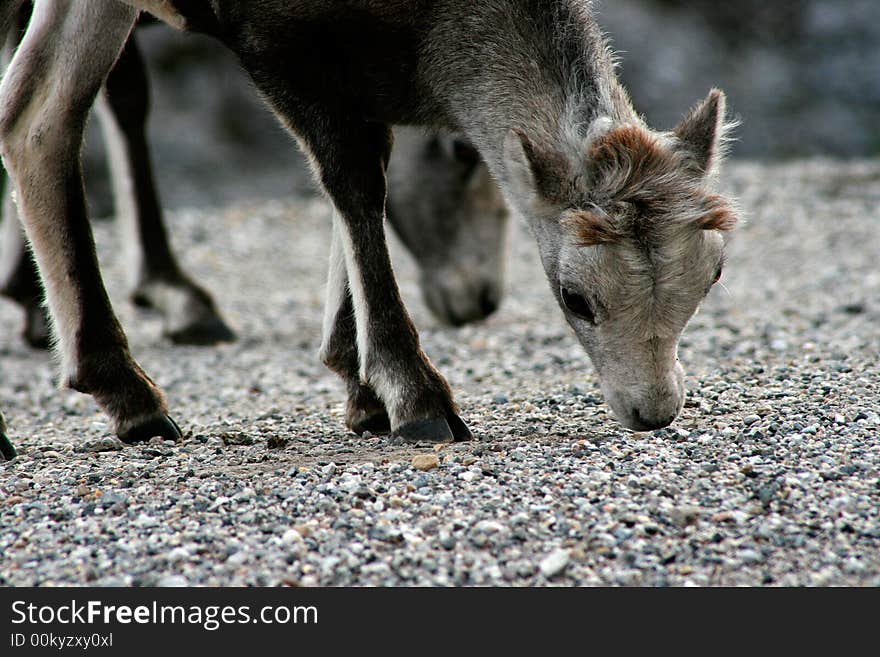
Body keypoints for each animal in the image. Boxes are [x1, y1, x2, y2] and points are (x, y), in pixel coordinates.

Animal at [0, 0, 736, 456]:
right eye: (576, 298)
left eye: (710, 278)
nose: (653, 410)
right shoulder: (279, 48)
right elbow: (353, 183)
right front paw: (416, 398)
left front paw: (359, 392)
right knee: (48, 112)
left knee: (33, 113)